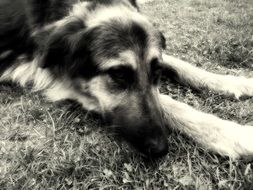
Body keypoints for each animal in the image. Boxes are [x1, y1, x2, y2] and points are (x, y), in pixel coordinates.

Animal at [0, 0, 252, 159]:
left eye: (156, 70)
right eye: (119, 74)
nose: (160, 149)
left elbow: (181, 64)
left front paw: (232, 82)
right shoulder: (51, 76)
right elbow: (168, 101)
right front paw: (231, 133)